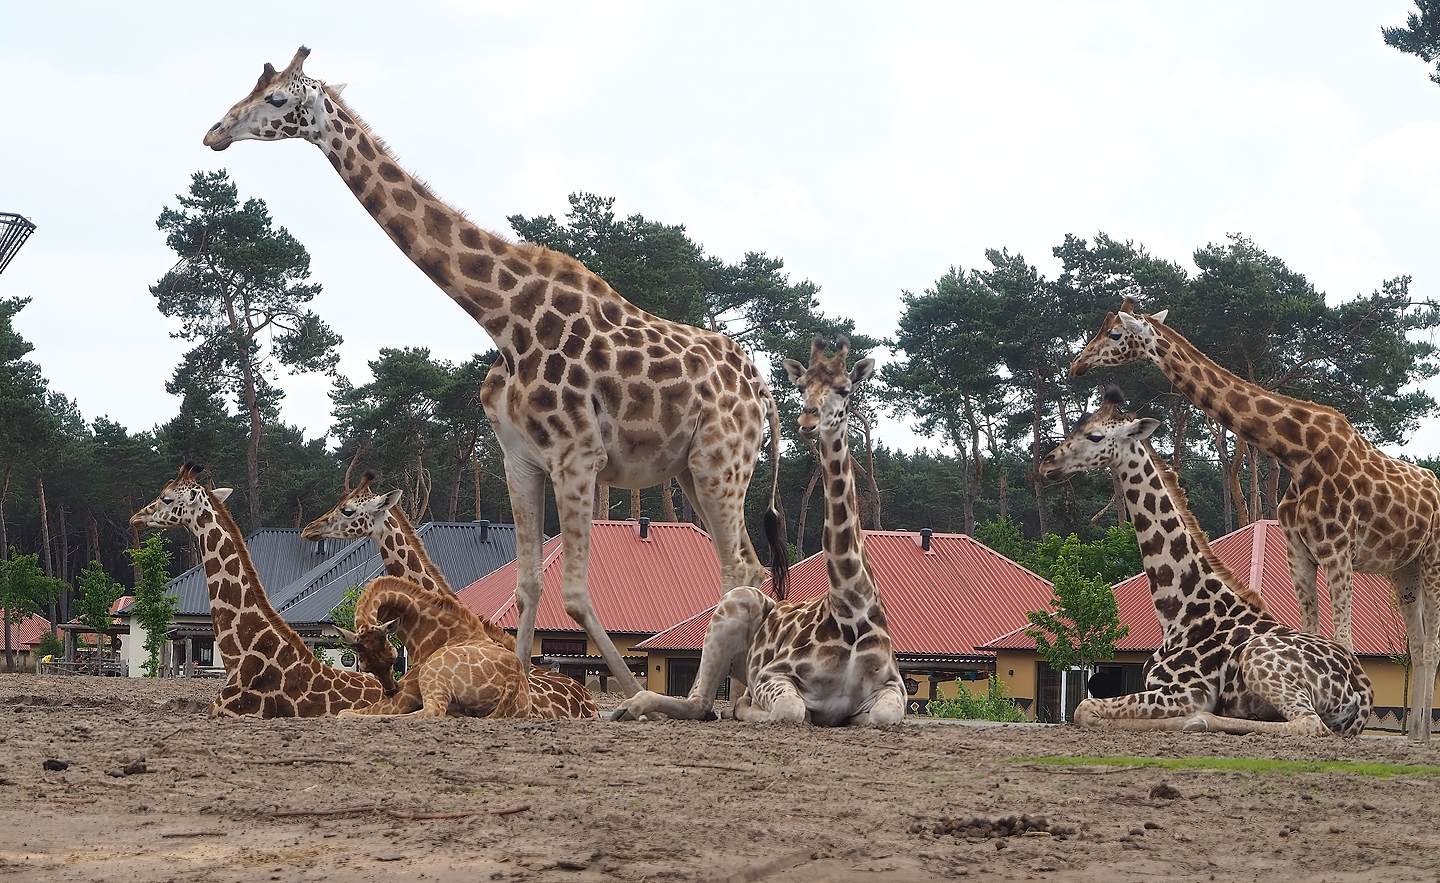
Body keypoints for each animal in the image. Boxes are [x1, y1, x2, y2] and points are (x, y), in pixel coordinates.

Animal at [612, 336, 906, 725]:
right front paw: (750, 707)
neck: (851, 610)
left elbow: (881, 715)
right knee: (700, 703)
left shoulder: (893, 685)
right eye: (802, 386)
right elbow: (790, 710)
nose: (808, 420)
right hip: (736, 604)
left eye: (845, 389)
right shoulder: (773, 674)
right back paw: (633, 706)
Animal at [1038, 386, 1373, 735]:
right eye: (1076, 429)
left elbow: (1084, 708)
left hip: (1258, 660)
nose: (1047, 463)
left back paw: (1199, 721)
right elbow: (1086, 707)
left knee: (1308, 723)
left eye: (1095, 436)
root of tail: (1363, 691)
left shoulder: (1186, 691)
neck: (1179, 613)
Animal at [1072, 298, 1440, 739]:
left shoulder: (1337, 549)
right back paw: (1415, 733)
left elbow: (1345, 642)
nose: (1077, 365)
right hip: (1404, 570)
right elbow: (1314, 632)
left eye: (1114, 333)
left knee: (1431, 645)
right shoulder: (1298, 549)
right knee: (1416, 644)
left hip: (1432, 559)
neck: (1297, 452)